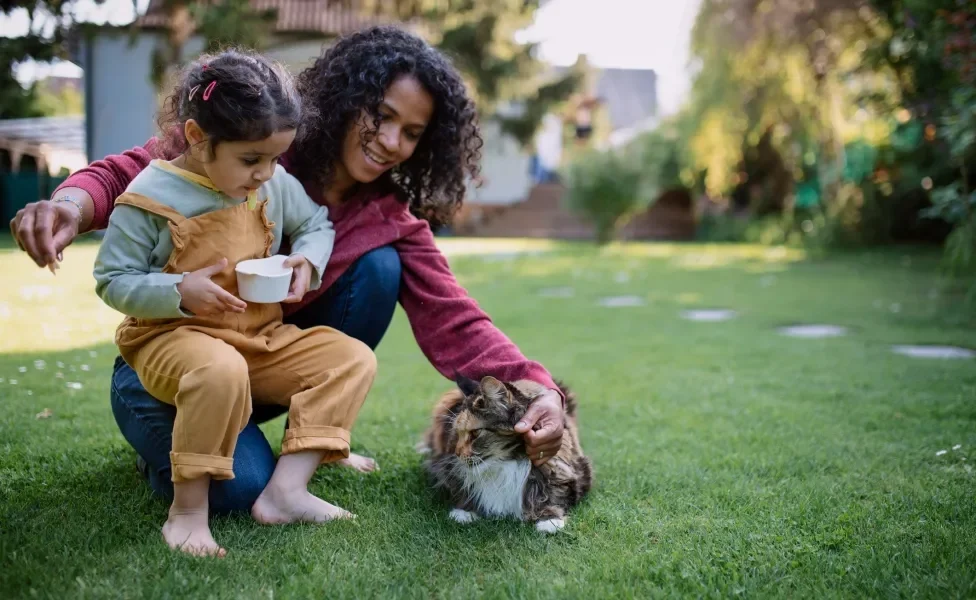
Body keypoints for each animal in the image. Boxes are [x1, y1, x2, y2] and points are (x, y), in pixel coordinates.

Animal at [422, 376, 592, 536]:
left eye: (475, 433)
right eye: (458, 433)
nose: (456, 453)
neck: (504, 464)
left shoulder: (567, 470)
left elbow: (555, 494)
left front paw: (549, 521)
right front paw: (464, 512)